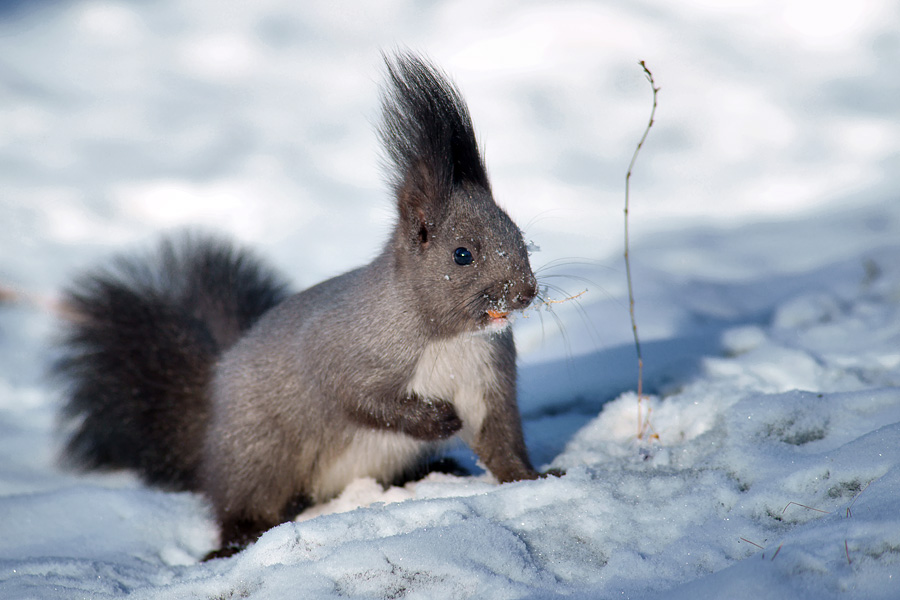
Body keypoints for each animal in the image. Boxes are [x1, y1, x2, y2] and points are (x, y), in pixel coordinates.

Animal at [59, 52, 544, 564]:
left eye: (518, 235)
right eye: (462, 254)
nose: (525, 292)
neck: (448, 337)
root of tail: (212, 417)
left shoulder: (488, 380)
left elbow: (501, 440)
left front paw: (533, 478)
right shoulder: (346, 352)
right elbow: (360, 400)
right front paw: (439, 420)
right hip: (260, 453)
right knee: (242, 506)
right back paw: (234, 542)